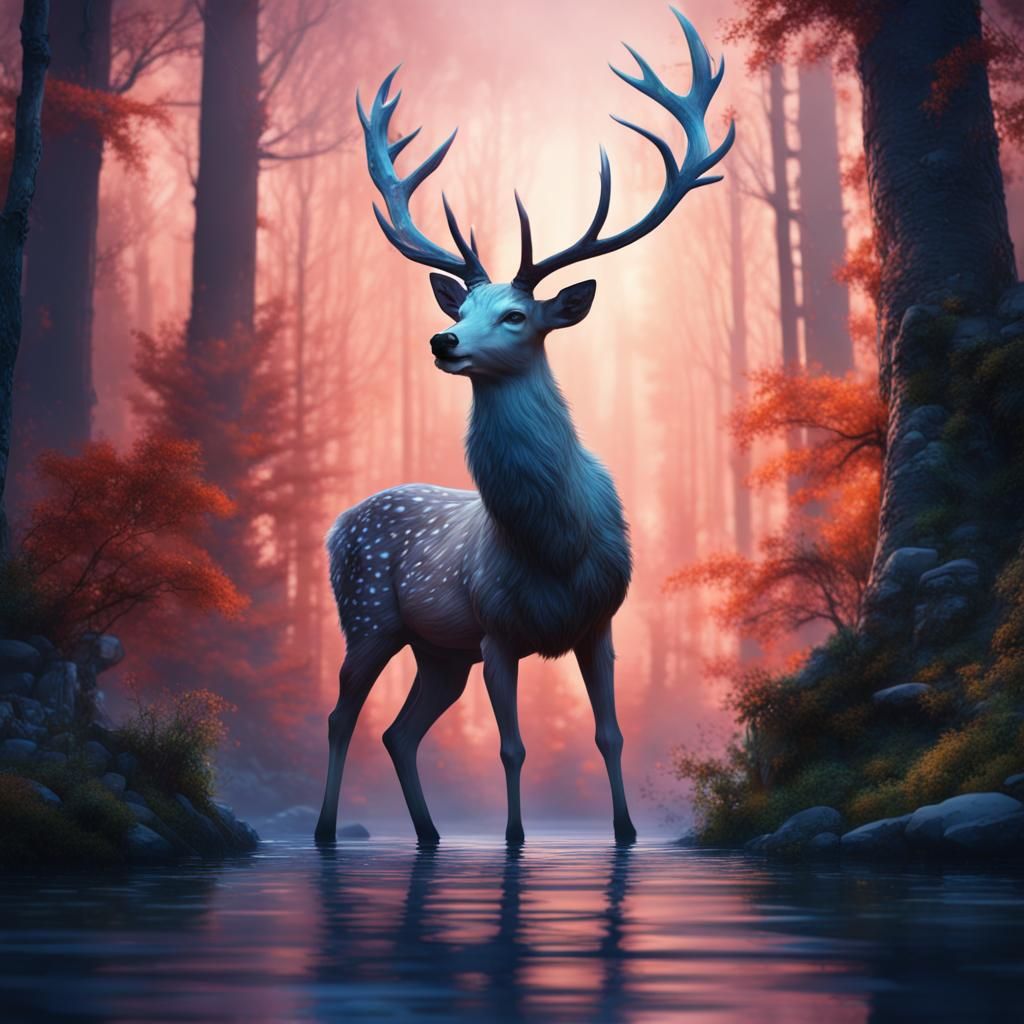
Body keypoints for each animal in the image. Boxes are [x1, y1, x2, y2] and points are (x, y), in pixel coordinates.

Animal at [315, 8, 733, 847]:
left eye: (515, 314)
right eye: (463, 306)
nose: (443, 341)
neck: (553, 546)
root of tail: (338, 523)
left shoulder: (600, 623)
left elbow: (610, 734)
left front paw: (626, 835)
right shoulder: (497, 629)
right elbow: (512, 746)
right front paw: (513, 840)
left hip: (441, 651)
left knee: (399, 730)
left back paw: (430, 835)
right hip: (368, 612)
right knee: (344, 717)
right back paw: (325, 833)